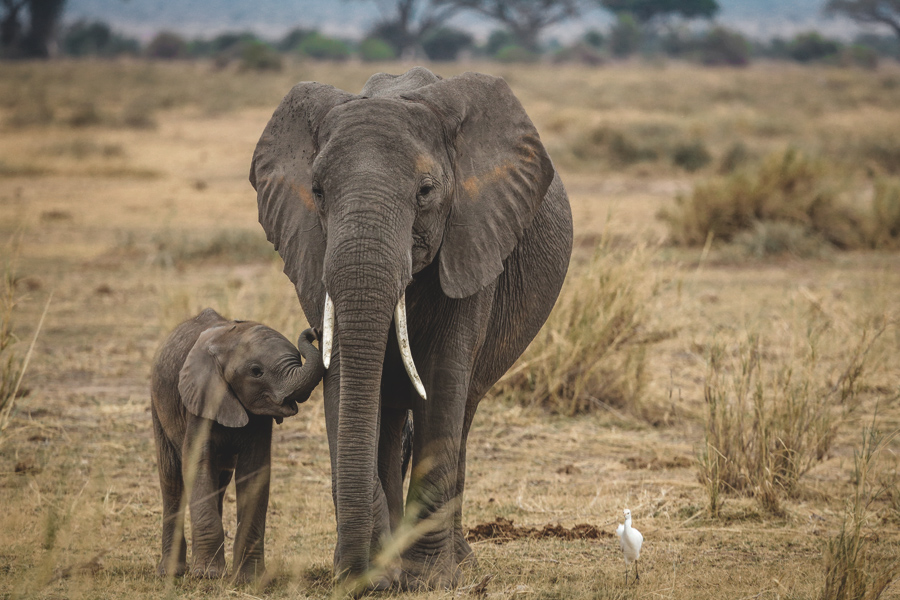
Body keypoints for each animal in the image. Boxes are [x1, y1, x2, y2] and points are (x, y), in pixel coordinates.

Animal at [150, 308, 324, 582]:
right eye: (256, 371)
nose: (314, 331)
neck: (227, 342)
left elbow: (254, 472)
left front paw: (249, 579)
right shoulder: (200, 400)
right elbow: (197, 463)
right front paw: (207, 576)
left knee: (219, 482)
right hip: (158, 404)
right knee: (172, 480)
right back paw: (171, 572)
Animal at [250, 67, 572, 589]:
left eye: (425, 192)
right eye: (317, 191)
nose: (358, 578)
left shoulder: (471, 241)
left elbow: (442, 383)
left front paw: (429, 580)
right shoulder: (313, 249)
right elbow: (346, 382)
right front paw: (378, 575)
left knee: (461, 411)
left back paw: (459, 565)